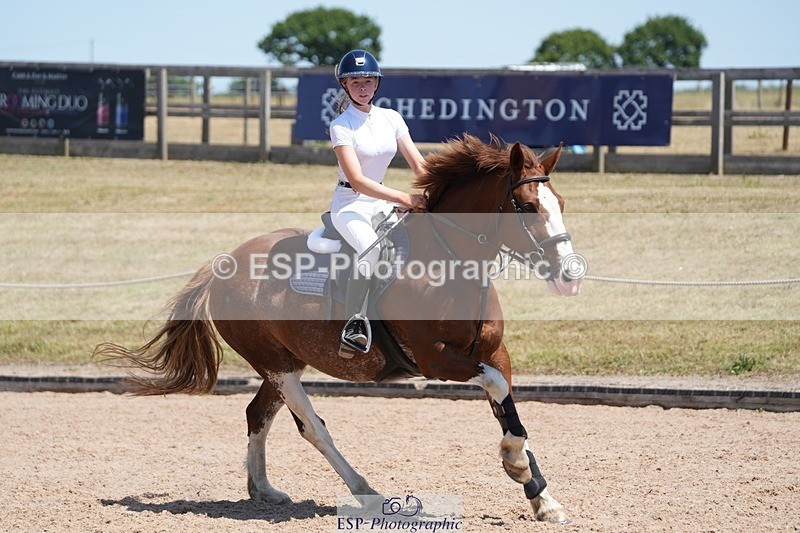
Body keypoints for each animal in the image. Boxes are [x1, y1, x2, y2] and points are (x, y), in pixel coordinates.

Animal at [94, 134, 582, 524]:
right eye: (527, 207)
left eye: (561, 204)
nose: (570, 276)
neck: (452, 262)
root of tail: (222, 265)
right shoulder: (438, 360)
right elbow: (498, 391)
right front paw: (516, 466)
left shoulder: (494, 353)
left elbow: (509, 410)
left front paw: (540, 495)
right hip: (277, 366)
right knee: (313, 428)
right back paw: (367, 492)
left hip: (286, 362)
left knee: (257, 414)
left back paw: (262, 489)